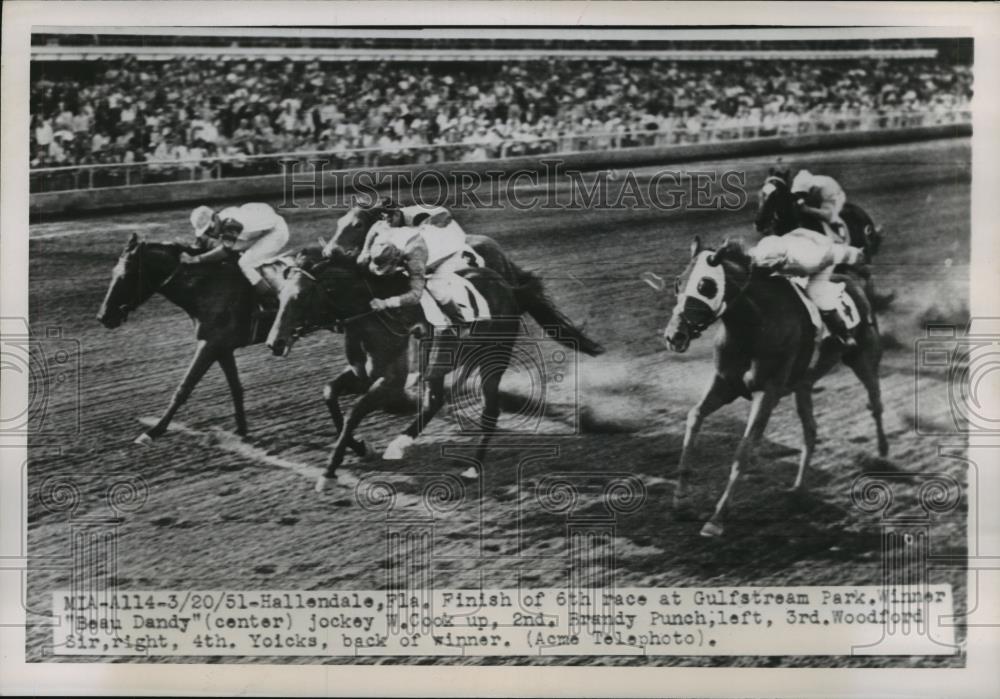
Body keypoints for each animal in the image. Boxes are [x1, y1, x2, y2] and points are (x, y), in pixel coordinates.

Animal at [97, 234, 288, 442]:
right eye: (113, 272)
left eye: (127, 275)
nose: (103, 316)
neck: (207, 287)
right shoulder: (222, 348)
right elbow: (236, 388)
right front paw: (242, 430)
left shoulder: (209, 345)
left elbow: (184, 388)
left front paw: (153, 431)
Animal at [660, 238, 888, 540]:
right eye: (678, 282)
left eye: (706, 285)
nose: (674, 336)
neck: (753, 325)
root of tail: (855, 282)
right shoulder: (725, 384)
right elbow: (695, 416)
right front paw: (680, 501)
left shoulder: (767, 393)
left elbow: (745, 448)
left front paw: (717, 518)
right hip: (804, 383)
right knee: (810, 431)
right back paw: (798, 490)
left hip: (863, 358)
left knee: (875, 401)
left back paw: (882, 453)